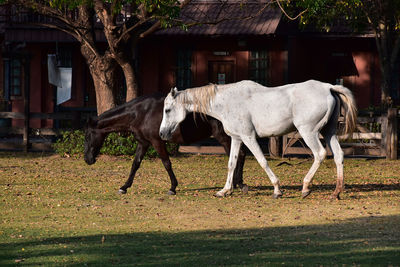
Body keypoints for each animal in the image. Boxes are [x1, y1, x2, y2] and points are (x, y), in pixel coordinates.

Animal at [85, 93, 247, 196]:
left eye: (87, 136)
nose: (87, 159)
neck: (141, 113)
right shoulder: (144, 143)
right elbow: (135, 164)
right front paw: (124, 187)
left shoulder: (157, 142)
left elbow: (166, 163)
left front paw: (172, 188)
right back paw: (238, 184)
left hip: (225, 137)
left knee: (238, 156)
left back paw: (238, 184)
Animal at [159, 80, 356, 200]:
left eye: (167, 110)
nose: (161, 133)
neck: (227, 102)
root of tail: (328, 87)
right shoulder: (236, 138)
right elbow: (231, 164)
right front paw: (224, 191)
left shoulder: (248, 137)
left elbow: (262, 161)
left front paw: (277, 190)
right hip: (329, 133)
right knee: (338, 156)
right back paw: (336, 192)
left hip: (309, 132)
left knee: (319, 154)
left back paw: (306, 187)